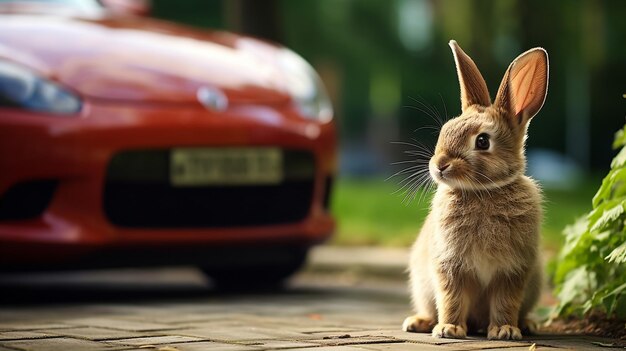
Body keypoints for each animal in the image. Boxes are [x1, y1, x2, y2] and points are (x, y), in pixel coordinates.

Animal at [400, 40, 544, 340]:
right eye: (444, 130)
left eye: (482, 141)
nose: (439, 165)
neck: (484, 191)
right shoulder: (450, 265)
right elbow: (451, 298)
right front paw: (449, 329)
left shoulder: (513, 270)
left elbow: (505, 302)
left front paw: (504, 330)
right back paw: (420, 322)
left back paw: (526, 324)